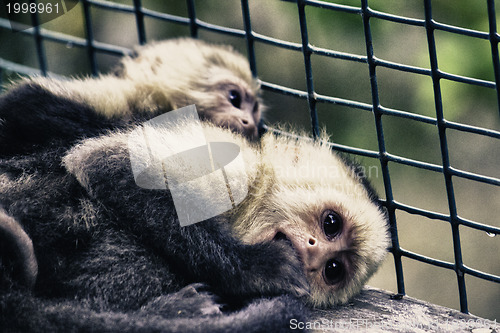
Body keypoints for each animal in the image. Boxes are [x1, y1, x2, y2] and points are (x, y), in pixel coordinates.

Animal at [0, 116, 390, 330]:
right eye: (330, 223)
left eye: (333, 269)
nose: (312, 253)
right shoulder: (240, 168)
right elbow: (106, 164)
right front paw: (258, 269)